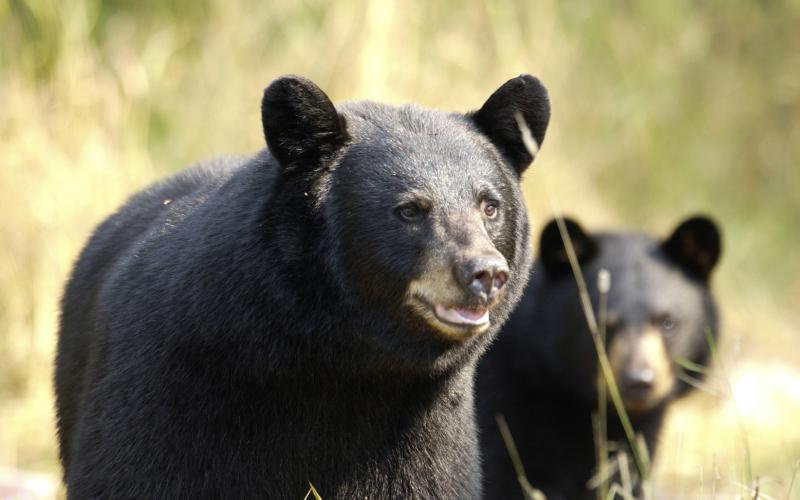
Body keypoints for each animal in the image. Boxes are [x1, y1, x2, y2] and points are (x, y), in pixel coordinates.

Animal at [54, 74, 551, 499]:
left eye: (489, 205)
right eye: (410, 209)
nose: (485, 273)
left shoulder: (425, 433)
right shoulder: (166, 387)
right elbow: (135, 472)